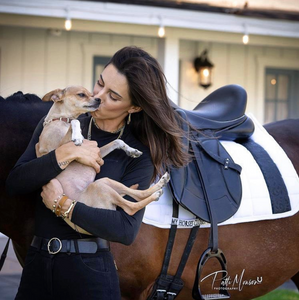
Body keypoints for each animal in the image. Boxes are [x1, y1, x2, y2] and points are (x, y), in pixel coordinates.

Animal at [36, 86, 170, 234]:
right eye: (81, 95)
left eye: (92, 93)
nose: (98, 100)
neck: (60, 120)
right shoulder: (60, 149)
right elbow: (76, 122)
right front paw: (77, 136)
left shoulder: (97, 153)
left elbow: (117, 141)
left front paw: (131, 150)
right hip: (100, 186)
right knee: (131, 207)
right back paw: (156, 193)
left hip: (106, 182)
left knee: (138, 195)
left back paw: (160, 184)